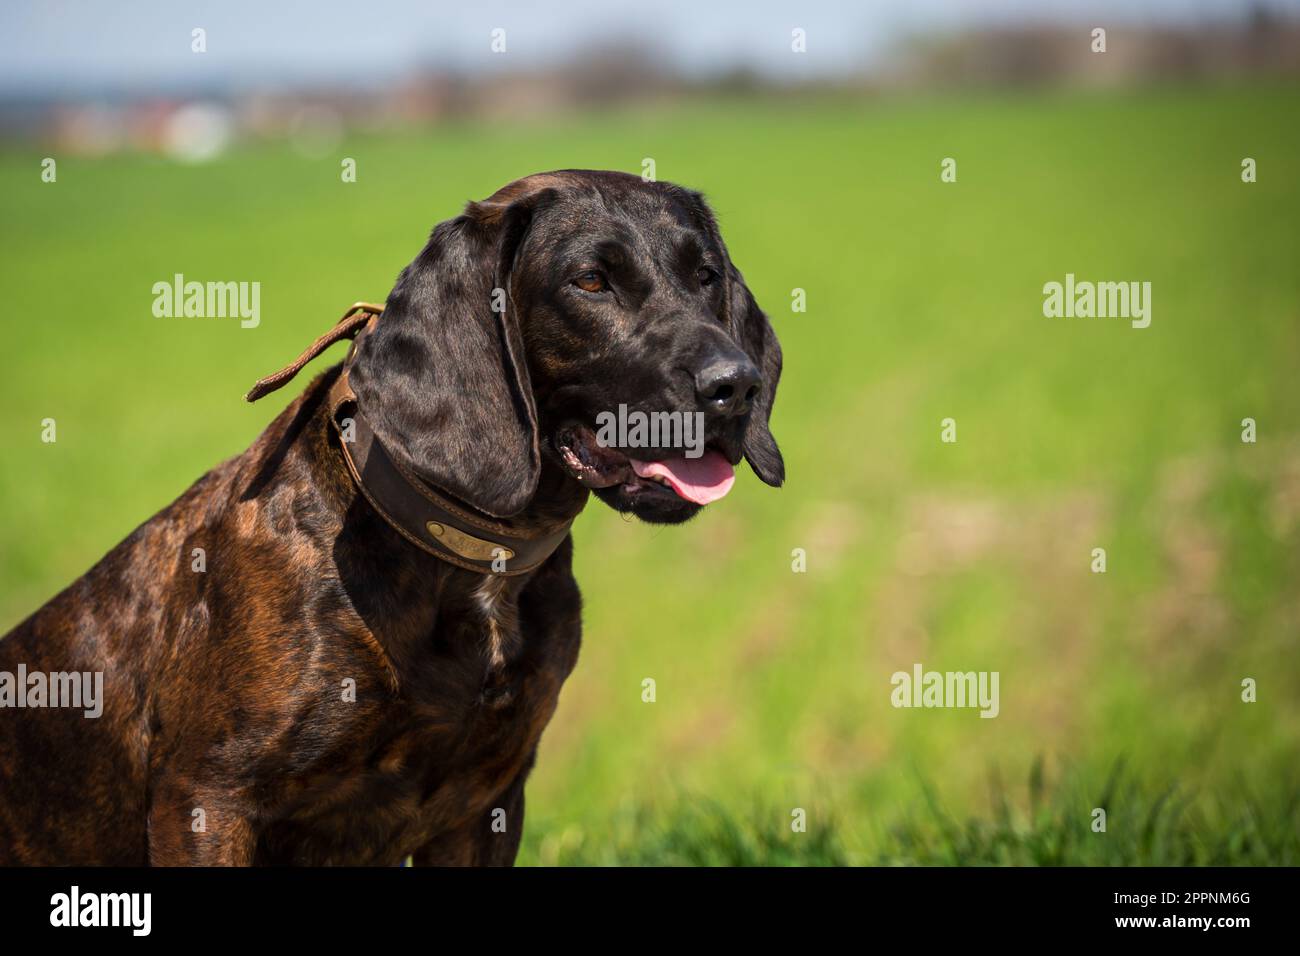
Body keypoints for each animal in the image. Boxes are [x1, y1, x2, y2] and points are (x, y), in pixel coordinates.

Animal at [0, 171, 780, 868]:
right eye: (591, 282)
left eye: (706, 275)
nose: (736, 384)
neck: (471, 562)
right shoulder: (207, 801)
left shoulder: (484, 804)